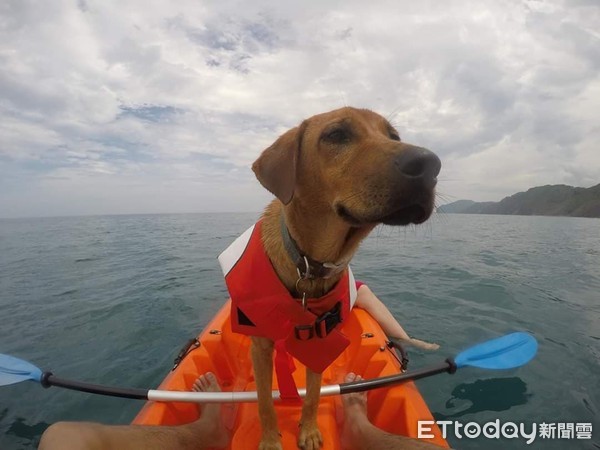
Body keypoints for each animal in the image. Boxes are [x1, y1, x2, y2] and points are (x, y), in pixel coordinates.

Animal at [244, 106, 440, 450]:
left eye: (394, 136)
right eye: (336, 135)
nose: (430, 165)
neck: (308, 264)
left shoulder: (320, 342)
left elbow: (312, 395)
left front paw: (308, 431)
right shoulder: (261, 347)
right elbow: (265, 401)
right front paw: (269, 440)